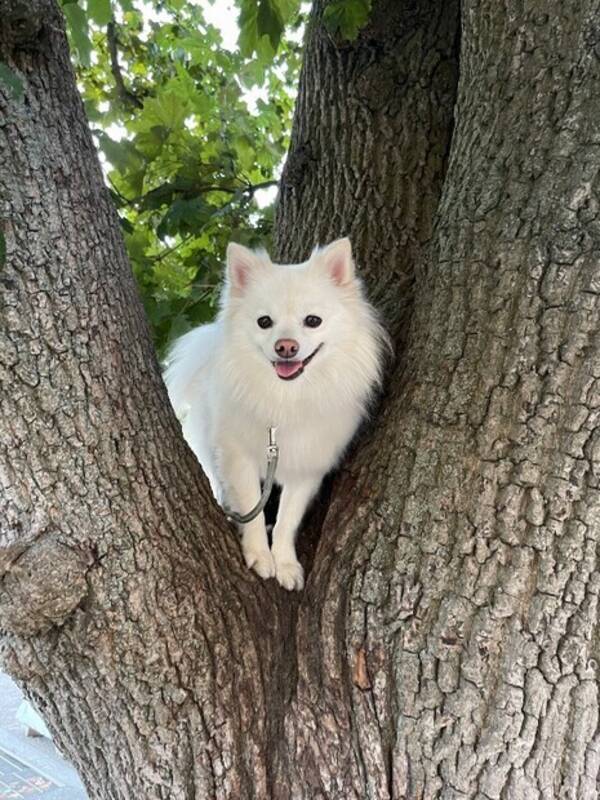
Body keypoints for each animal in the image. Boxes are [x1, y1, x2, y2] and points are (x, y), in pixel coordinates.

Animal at [164, 236, 390, 588]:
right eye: (264, 322)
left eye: (313, 320)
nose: (286, 347)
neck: (286, 398)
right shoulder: (238, 456)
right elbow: (252, 508)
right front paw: (259, 555)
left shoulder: (308, 467)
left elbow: (287, 520)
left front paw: (285, 563)